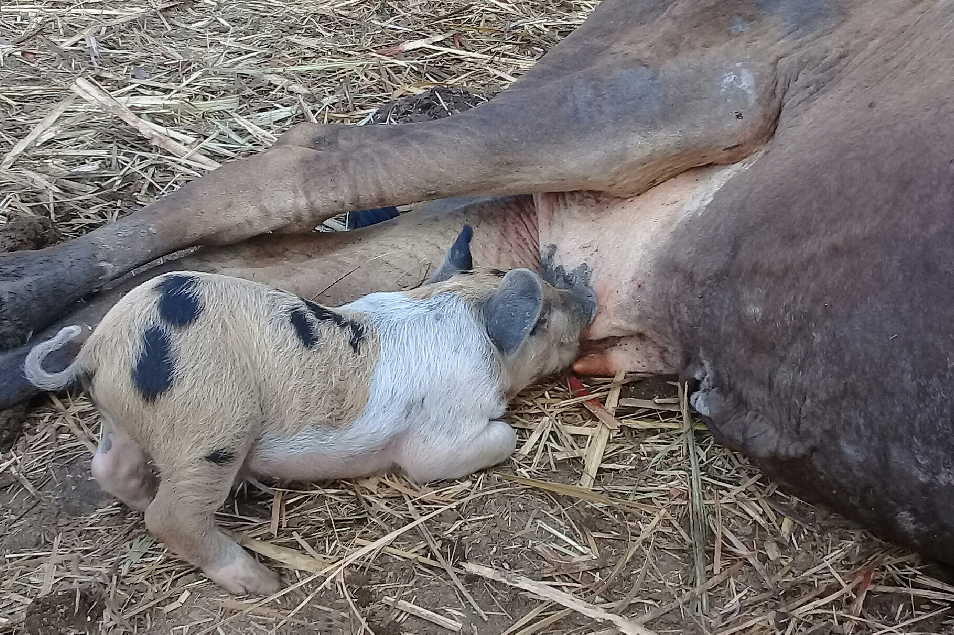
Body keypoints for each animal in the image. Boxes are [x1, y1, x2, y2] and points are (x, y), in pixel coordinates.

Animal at [22, 230, 588, 596]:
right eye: (544, 318)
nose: (586, 300)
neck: (458, 311)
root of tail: (100, 348)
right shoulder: (441, 437)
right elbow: (479, 445)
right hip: (209, 426)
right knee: (171, 517)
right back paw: (262, 582)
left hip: (127, 421)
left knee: (111, 467)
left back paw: (142, 497)